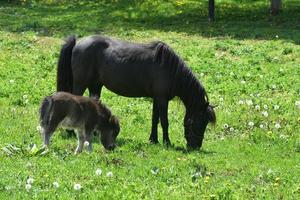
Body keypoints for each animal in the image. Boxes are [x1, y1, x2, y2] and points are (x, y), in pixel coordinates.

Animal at [56, 35, 216, 149]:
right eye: (200, 121)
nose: (195, 146)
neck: (169, 69)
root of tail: (78, 42)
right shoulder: (162, 99)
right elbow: (164, 121)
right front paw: (167, 142)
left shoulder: (156, 98)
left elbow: (155, 119)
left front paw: (153, 140)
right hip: (81, 85)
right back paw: (71, 132)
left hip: (95, 86)